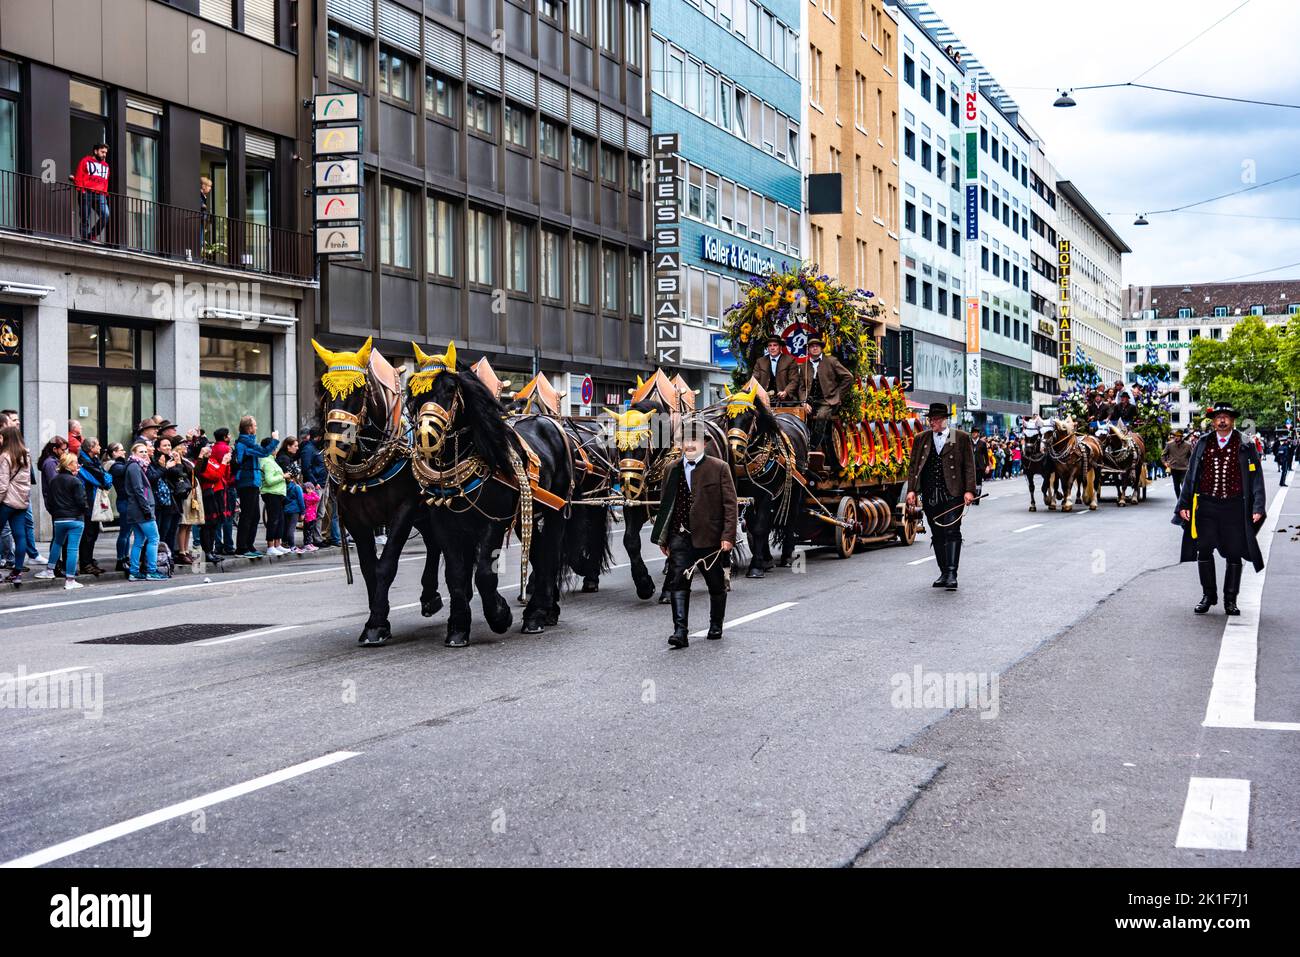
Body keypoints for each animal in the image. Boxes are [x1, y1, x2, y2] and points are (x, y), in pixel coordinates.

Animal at [312, 332, 444, 647]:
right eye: (325, 392)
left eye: (359, 391)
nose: (336, 445)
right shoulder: (356, 519)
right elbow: (369, 568)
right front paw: (376, 618)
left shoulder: (404, 510)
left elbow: (387, 564)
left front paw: (376, 626)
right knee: (433, 542)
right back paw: (429, 596)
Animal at [403, 340, 572, 647]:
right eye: (416, 393)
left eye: (450, 389)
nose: (426, 435)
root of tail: (551, 422)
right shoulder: (445, 526)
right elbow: (456, 575)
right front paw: (458, 629)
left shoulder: (493, 522)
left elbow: (483, 573)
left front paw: (500, 616)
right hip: (527, 516)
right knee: (538, 552)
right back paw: (546, 610)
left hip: (555, 511)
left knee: (550, 553)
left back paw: (535, 616)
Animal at [717, 382, 806, 579]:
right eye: (728, 416)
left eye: (750, 416)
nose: (734, 448)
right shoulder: (746, 496)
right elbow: (754, 526)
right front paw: (764, 561)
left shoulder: (767, 494)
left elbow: (760, 527)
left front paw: (756, 567)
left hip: (796, 488)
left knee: (791, 518)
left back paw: (787, 556)